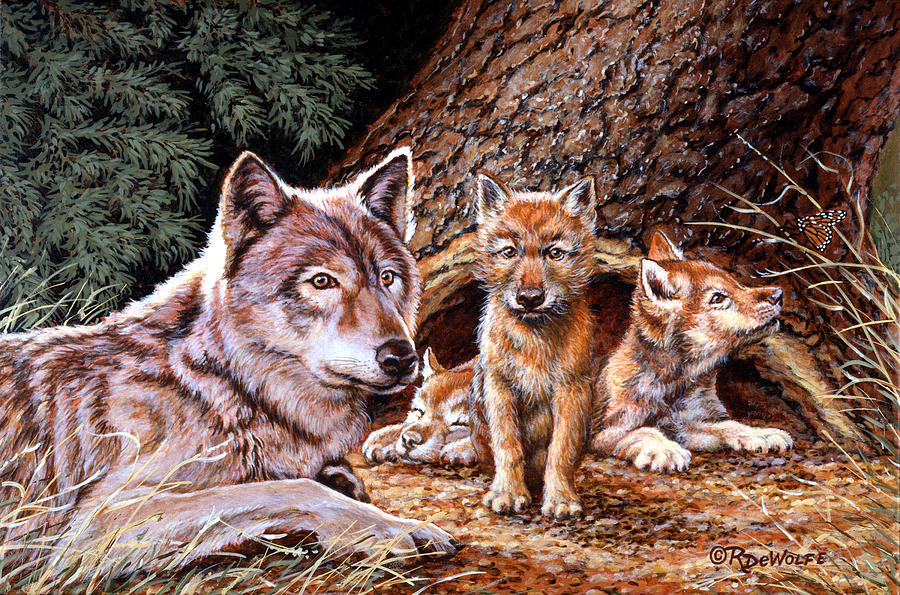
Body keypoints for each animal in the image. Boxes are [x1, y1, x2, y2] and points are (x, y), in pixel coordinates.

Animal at [0, 148, 458, 575]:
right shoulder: (96, 523)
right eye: (322, 282)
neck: (221, 385)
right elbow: (292, 489)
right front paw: (387, 528)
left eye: (387, 278)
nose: (401, 357)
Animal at [468, 173, 597, 519]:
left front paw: (561, 498)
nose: (529, 298)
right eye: (509, 252)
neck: (535, 338)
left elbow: (560, 451)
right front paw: (508, 493)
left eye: (554, 253)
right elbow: (508, 447)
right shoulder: (499, 386)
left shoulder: (571, 389)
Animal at [590, 230, 793, 472]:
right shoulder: (605, 432)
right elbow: (644, 431)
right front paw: (666, 450)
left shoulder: (691, 422)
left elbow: (729, 425)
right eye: (718, 298)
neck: (676, 383)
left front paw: (762, 434)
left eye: (737, 284)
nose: (779, 294)